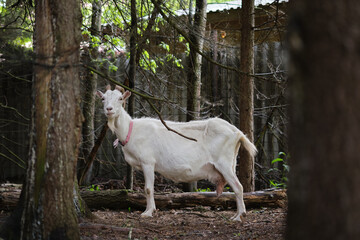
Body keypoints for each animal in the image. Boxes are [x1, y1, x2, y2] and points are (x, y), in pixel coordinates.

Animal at [97, 85, 258, 221]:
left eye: (120, 98)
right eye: (103, 98)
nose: (109, 109)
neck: (131, 130)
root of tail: (237, 132)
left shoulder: (148, 162)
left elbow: (148, 189)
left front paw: (148, 212)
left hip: (223, 162)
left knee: (238, 187)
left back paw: (239, 216)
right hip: (231, 163)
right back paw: (237, 214)